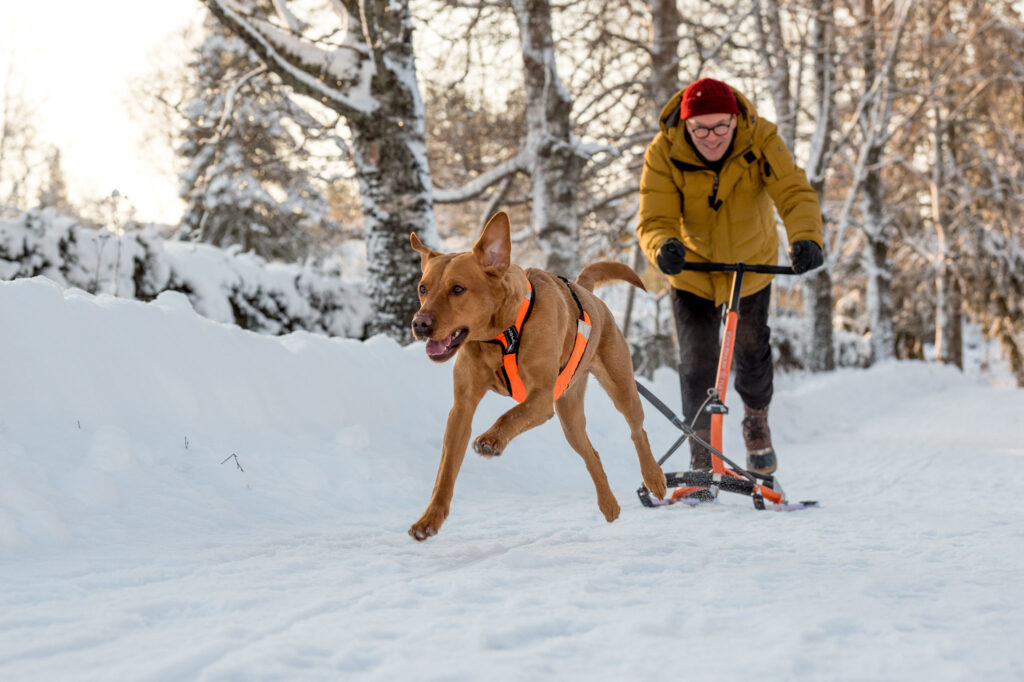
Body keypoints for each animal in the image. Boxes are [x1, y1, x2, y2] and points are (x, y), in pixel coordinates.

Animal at [411, 209, 667, 540]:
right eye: (423, 288)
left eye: (458, 289)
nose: (420, 323)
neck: (499, 336)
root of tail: (587, 293)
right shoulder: (462, 408)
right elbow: (445, 473)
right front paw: (429, 519)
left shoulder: (541, 398)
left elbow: (511, 414)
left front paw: (492, 439)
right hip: (569, 416)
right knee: (592, 454)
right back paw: (609, 505)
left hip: (620, 387)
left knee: (638, 431)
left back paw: (654, 477)